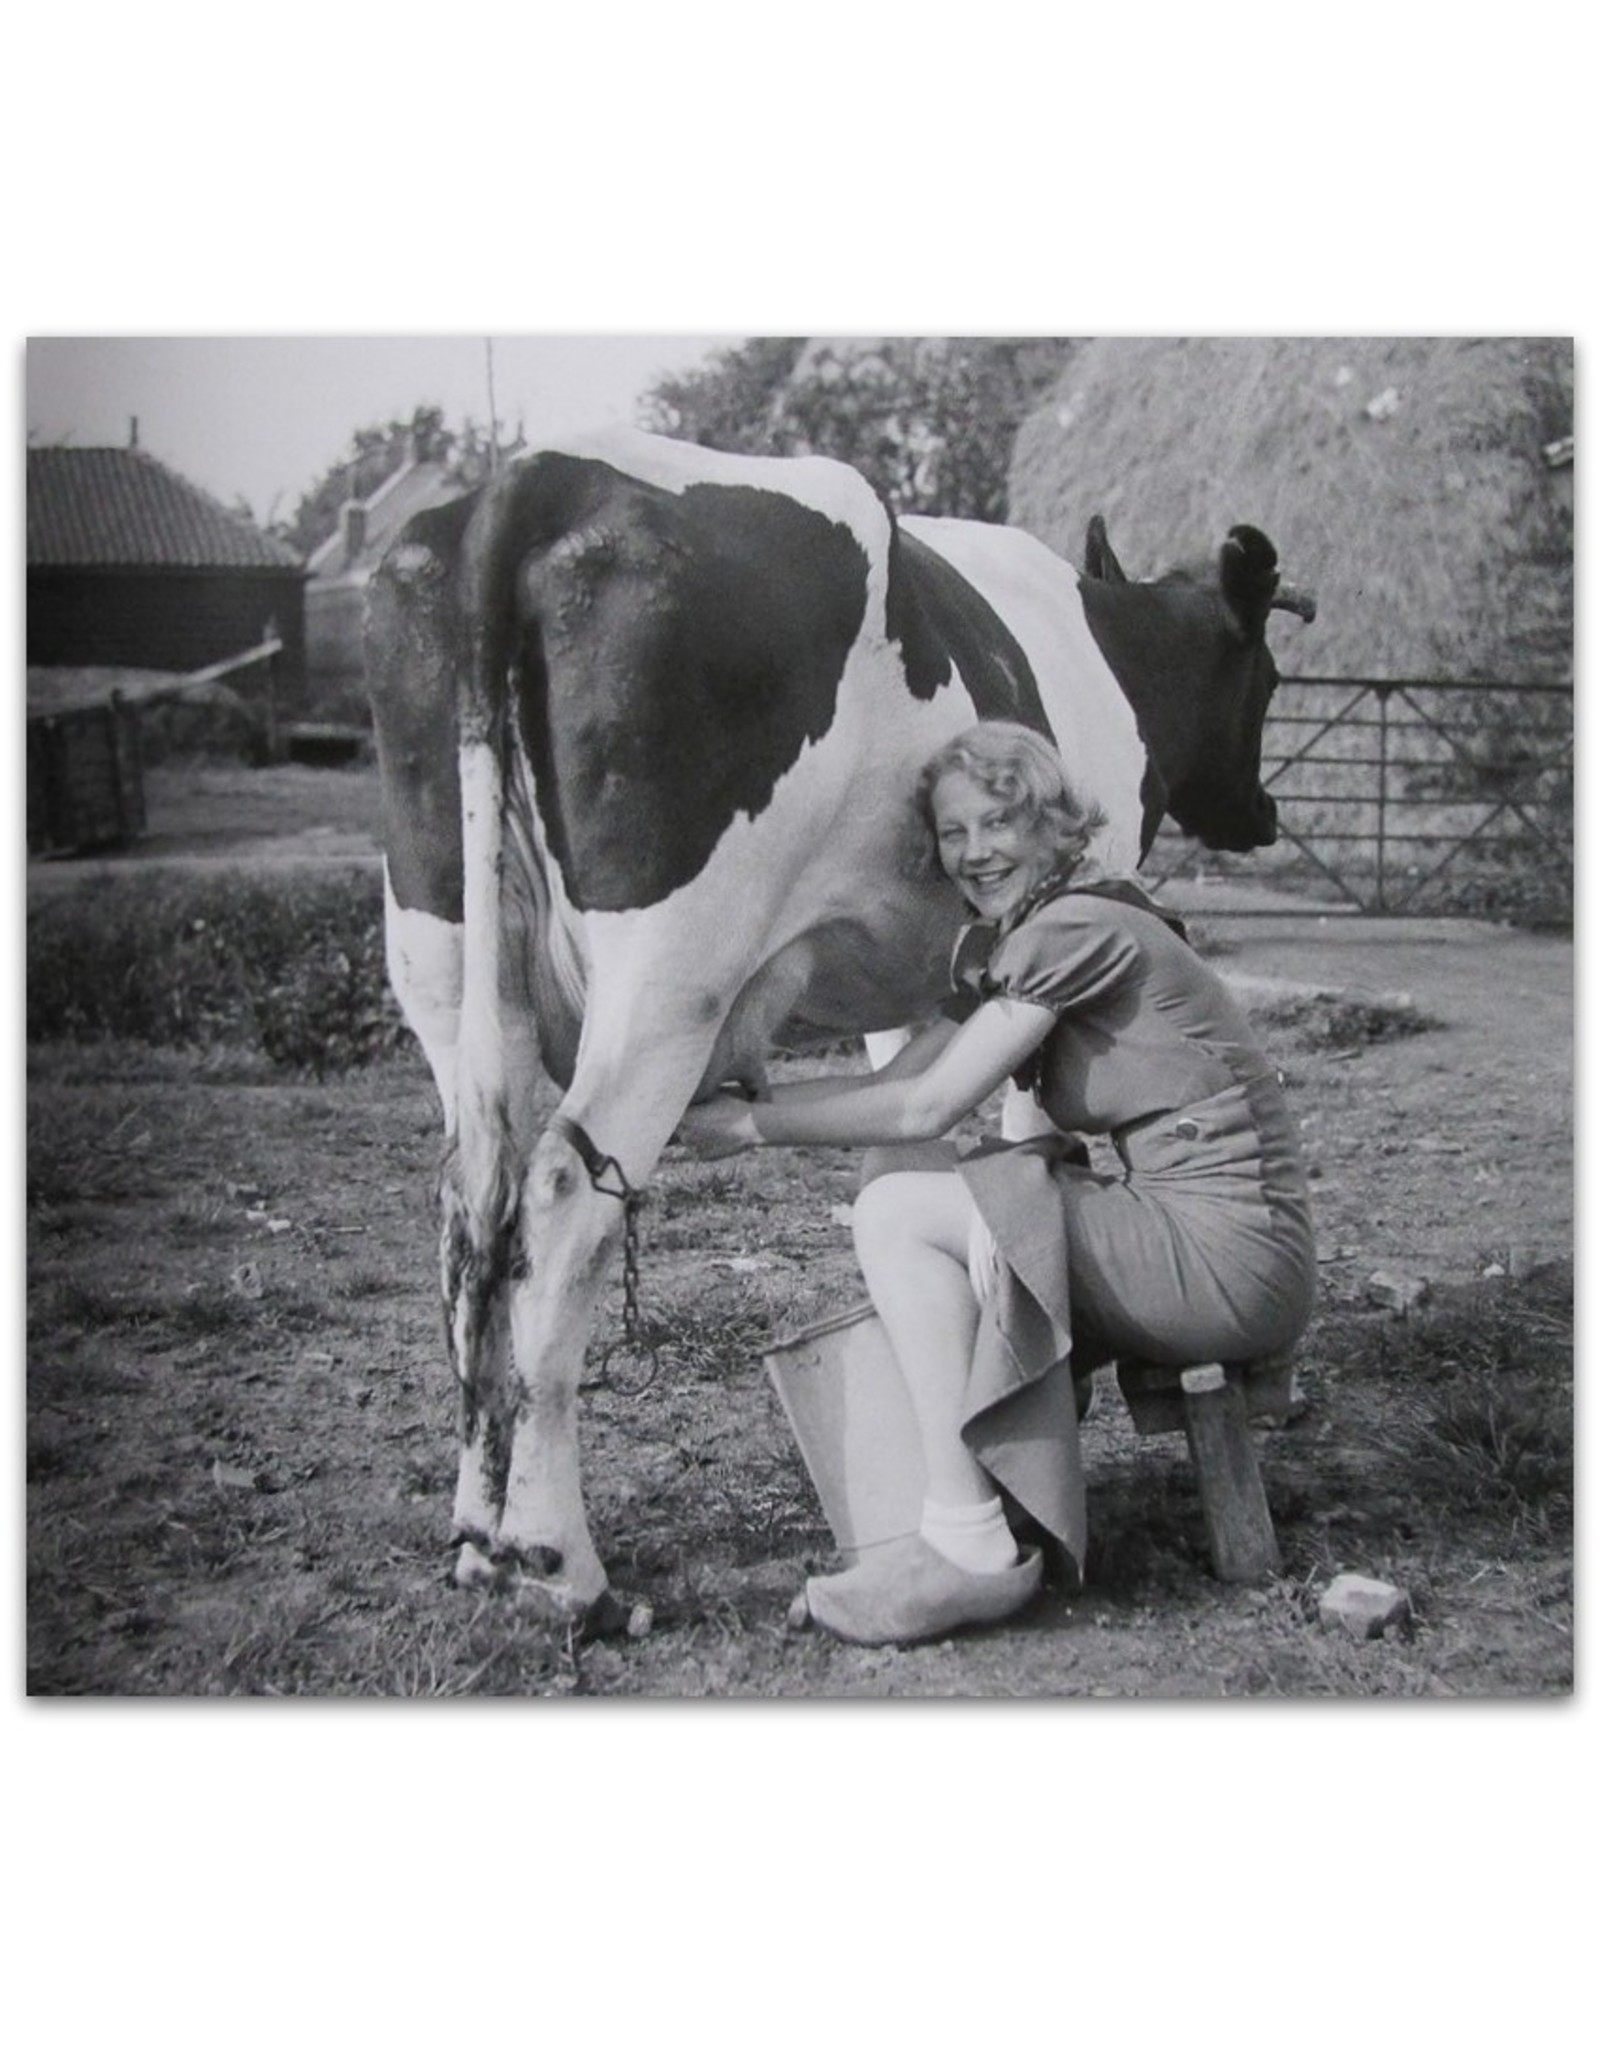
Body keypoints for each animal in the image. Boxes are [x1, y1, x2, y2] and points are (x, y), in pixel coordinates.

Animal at [368, 428, 1319, 1613]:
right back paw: (557, 1564)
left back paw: (474, 1535)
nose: (1265, 812)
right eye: (1268, 676)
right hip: (667, 978)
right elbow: (1030, 1125)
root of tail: (538, 473)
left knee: (468, 1210)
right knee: (559, 1200)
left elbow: (900, 1138)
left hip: (444, 960)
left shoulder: (908, 989)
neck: (1107, 645)